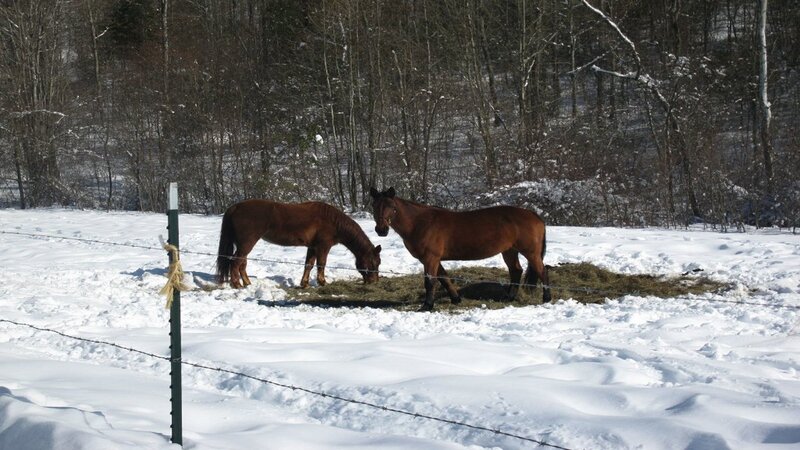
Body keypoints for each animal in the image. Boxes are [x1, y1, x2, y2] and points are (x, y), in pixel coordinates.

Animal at [216, 199, 382, 289]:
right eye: (374, 263)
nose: (374, 281)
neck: (333, 222)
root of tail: (235, 207)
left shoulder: (312, 247)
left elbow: (309, 265)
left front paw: (304, 283)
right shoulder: (323, 247)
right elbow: (321, 264)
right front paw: (322, 282)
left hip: (244, 244)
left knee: (241, 263)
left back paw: (247, 283)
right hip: (247, 243)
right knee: (236, 262)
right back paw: (237, 284)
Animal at [369, 187, 551, 311]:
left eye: (391, 206)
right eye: (374, 206)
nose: (381, 230)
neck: (420, 223)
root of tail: (533, 215)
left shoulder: (430, 258)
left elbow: (430, 281)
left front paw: (427, 306)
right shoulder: (433, 259)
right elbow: (444, 278)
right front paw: (456, 299)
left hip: (530, 252)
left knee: (542, 271)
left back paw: (547, 299)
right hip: (509, 250)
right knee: (516, 271)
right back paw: (509, 298)